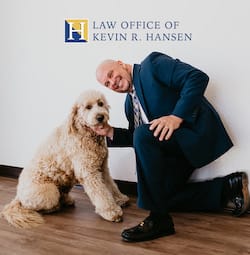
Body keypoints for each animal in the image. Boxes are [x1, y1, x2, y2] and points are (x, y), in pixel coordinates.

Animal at [0, 90, 129, 229]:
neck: (85, 132)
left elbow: (110, 185)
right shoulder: (89, 172)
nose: (100, 117)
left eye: (100, 103)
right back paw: (55, 206)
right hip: (49, 191)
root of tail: (17, 197)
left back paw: (67, 200)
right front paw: (111, 212)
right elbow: (101, 193)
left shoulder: (102, 168)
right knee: (33, 207)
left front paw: (120, 199)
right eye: (88, 107)